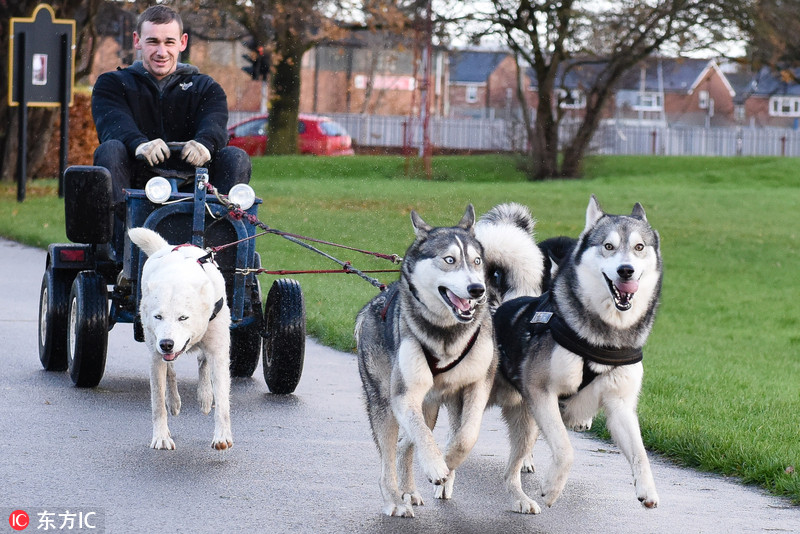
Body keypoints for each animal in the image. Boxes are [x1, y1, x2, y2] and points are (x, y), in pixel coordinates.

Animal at [128, 227, 233, 452]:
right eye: (158, 317)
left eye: (183, 318)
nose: (166, 344)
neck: (177, 276)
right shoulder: (156, 356)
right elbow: (158, 402)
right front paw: (161, 437)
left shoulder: (219, 352)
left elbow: (222, 401)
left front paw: (222, 437)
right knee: (171, 372)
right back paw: (174, 401)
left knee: (202, 362)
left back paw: (205, 396)